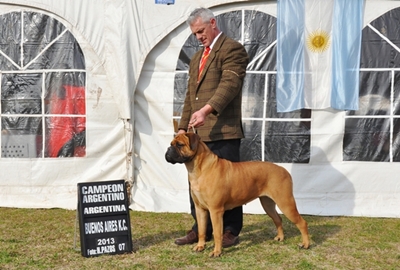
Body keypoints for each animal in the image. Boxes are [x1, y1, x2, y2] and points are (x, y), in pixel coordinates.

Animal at [165, 133, 310, 258]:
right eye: (171, 144)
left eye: (180, 145)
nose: (168, 149)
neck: (199, 169)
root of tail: (284, 170)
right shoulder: (200, 209)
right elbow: (201, 230)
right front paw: (200, 246)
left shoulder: (215, 211)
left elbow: (217, 233)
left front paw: (217, 252)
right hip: (267, 204)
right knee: (278, 219)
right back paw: (280, 237)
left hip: (286, 203)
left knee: (302, 222)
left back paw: (306, 244)